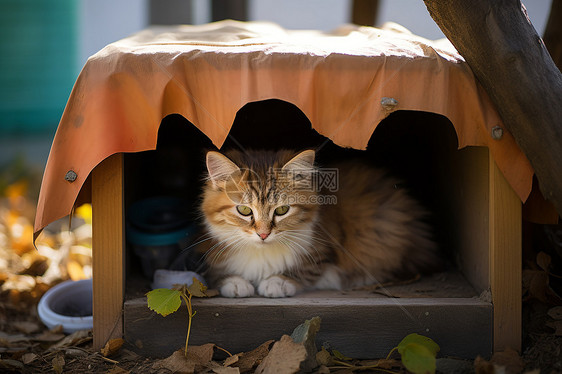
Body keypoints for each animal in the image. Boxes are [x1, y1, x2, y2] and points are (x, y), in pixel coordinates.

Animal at [198, 149, 438, 298]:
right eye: (245, 210)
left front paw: (277, 281)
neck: (262, 252)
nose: (263, 235)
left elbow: (308, 270)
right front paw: (235, 282)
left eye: (282, 210)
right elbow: (217, 273)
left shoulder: (324, 251)